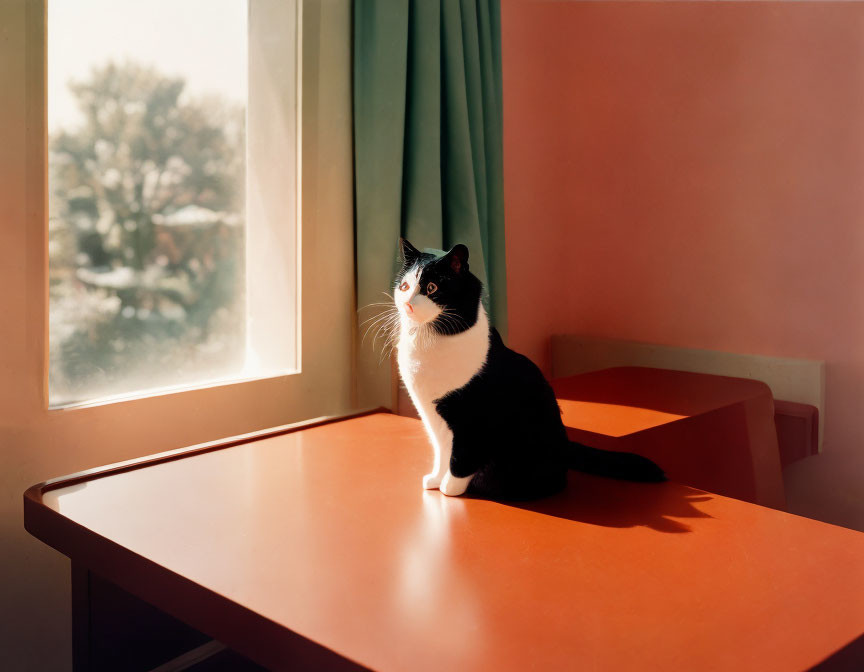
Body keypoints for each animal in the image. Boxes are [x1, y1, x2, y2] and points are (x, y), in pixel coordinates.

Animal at [388, 239, 664, 502]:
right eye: (404, 287)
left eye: (432, 288)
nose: (409, 305)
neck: (428, 343)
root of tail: (566, 445)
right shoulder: (431, 416)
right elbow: (441, 451)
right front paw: (436, 479)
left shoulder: (473, 418)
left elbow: (460, 457)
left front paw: (451, 488)